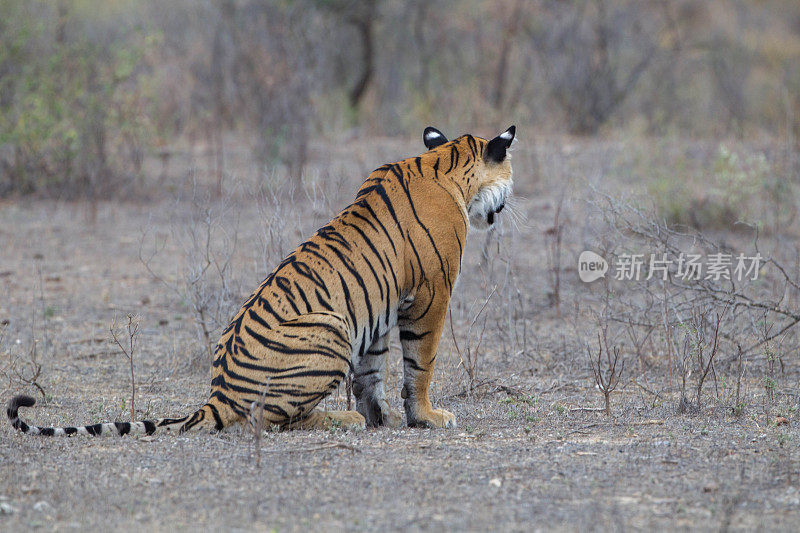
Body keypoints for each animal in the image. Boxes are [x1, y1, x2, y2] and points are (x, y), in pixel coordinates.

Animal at [7, 124, 520, 436]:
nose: (507, 207)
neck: (447, 164)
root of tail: (216, 395)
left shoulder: (381, 304)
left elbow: (372, 370)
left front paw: (381, 416)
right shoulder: (431, 295)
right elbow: (421, 364)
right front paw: (426, 416)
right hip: (331, 329)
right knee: (270, 420)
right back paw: (342, 420)